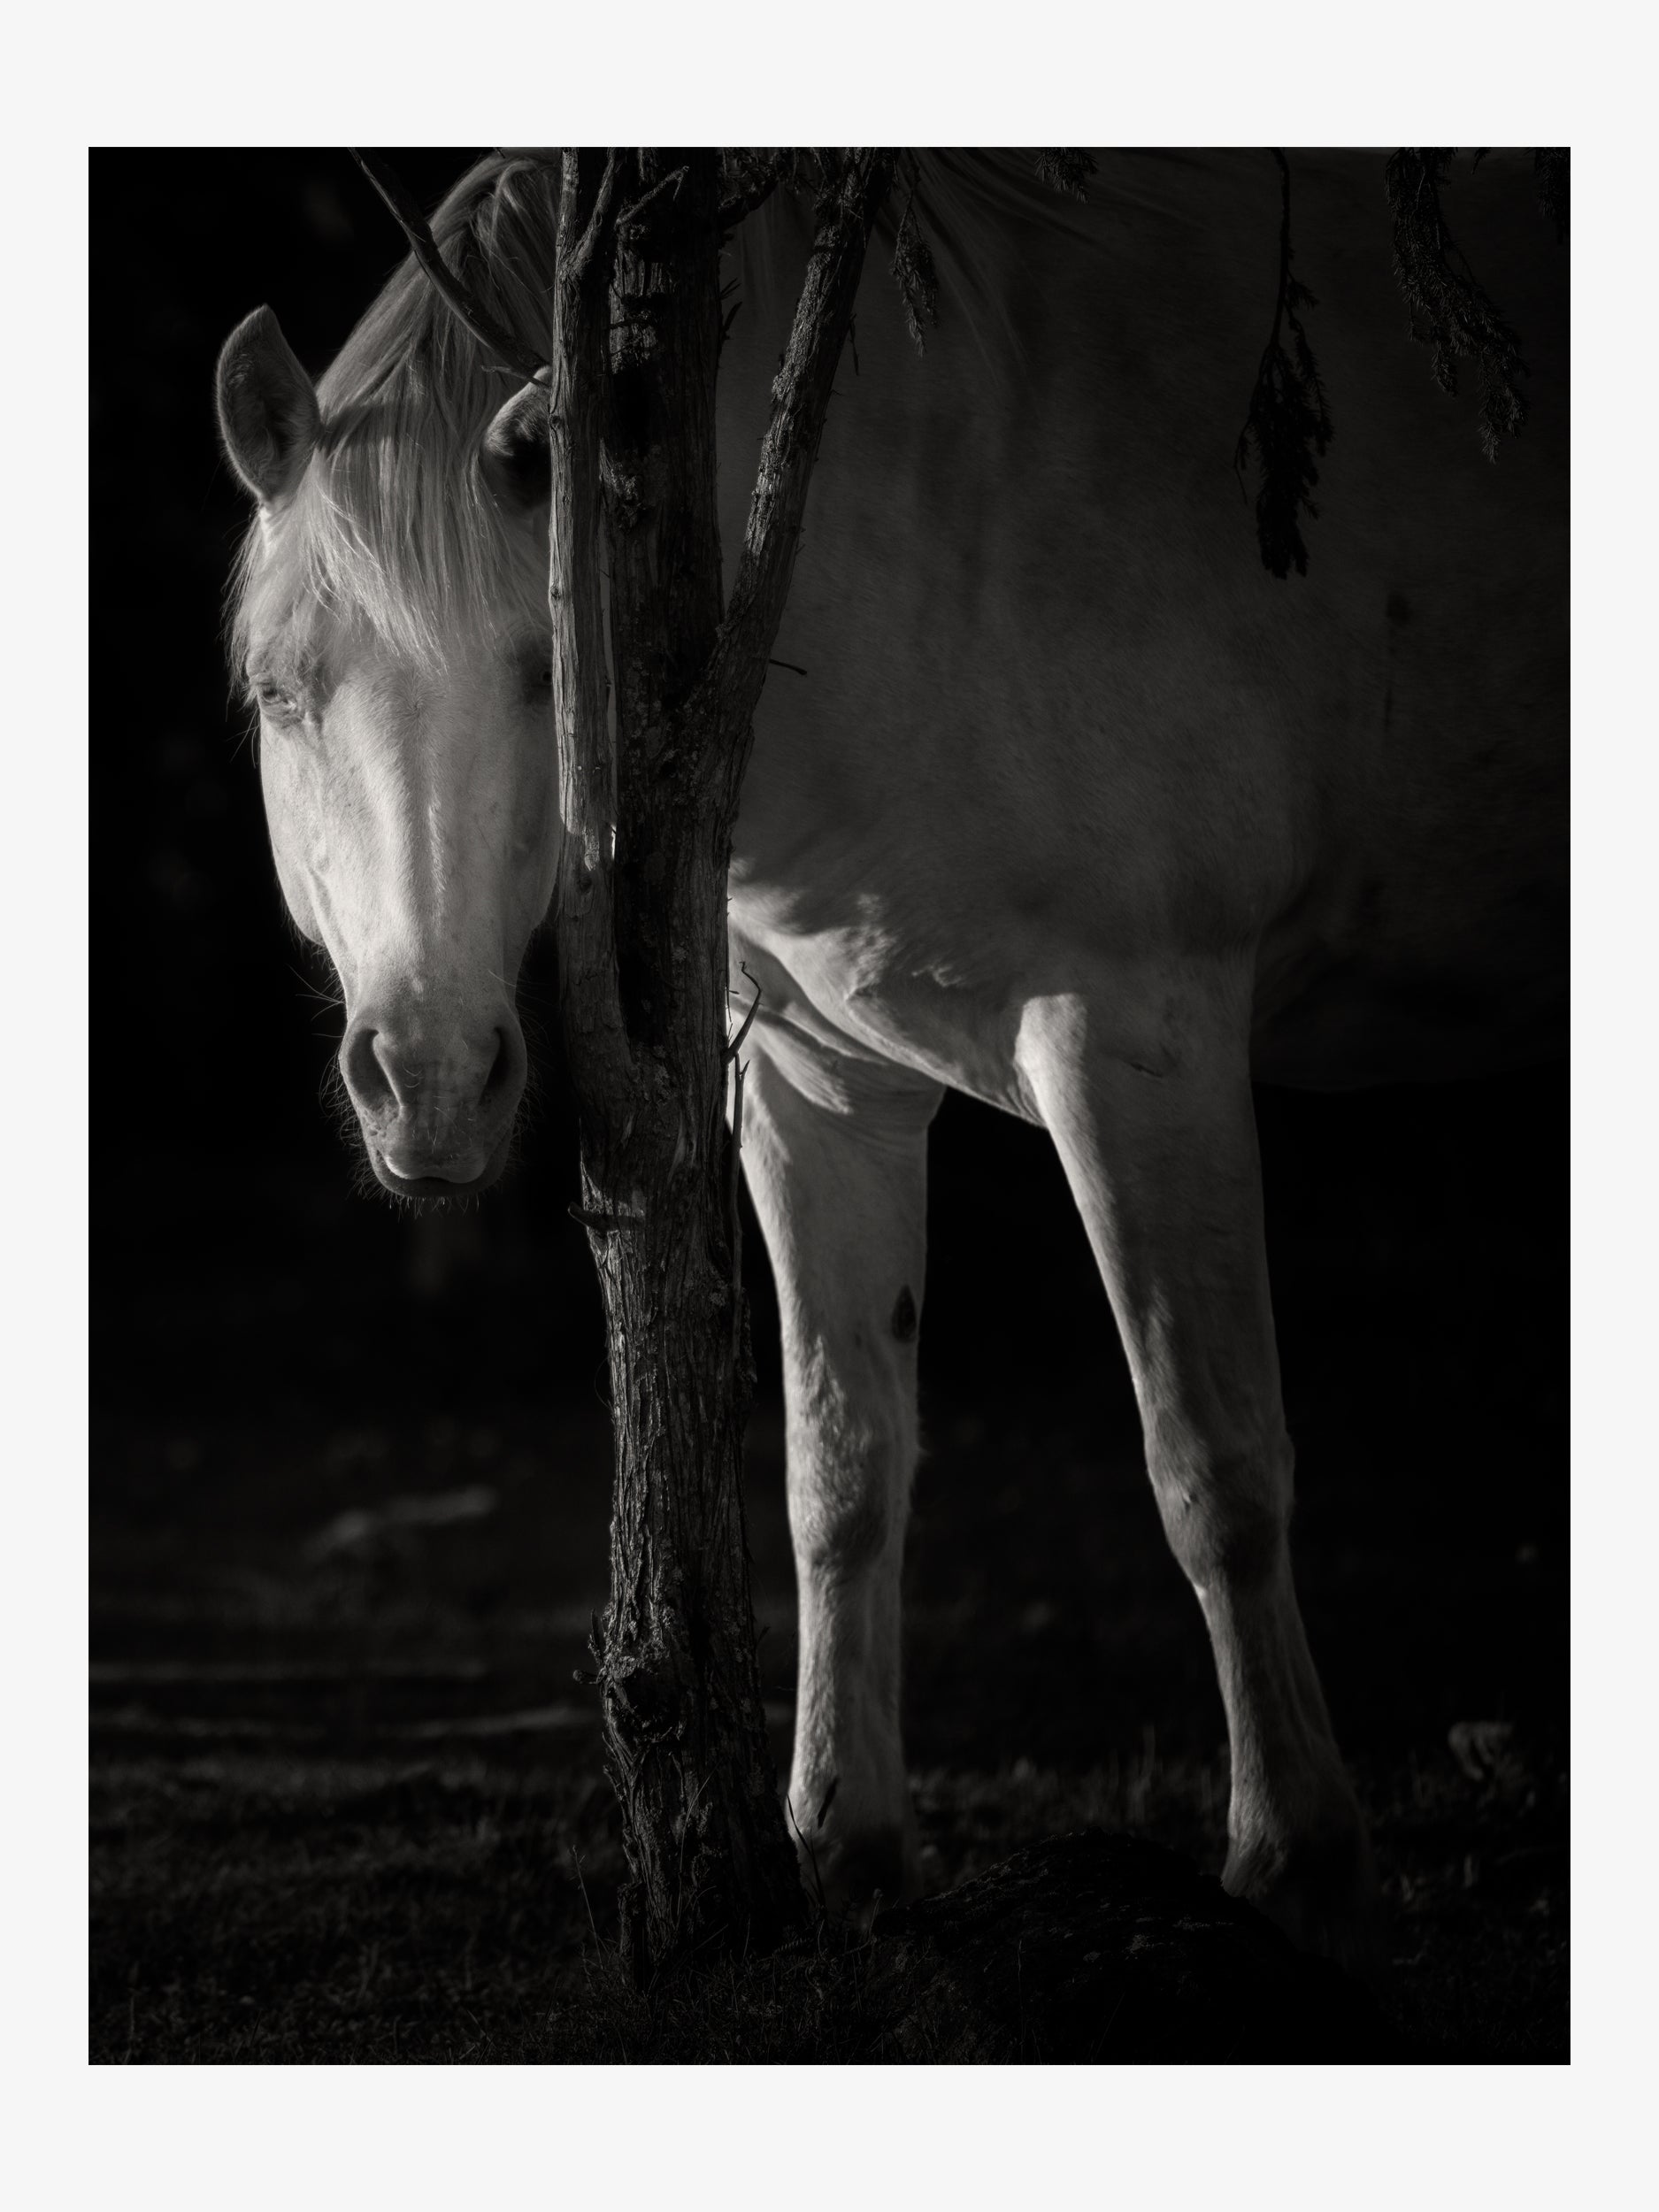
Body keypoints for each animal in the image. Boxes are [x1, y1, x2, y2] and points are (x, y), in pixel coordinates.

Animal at [215, 150, 1567, 1974]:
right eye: (279, 691)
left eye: (544, 670)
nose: (429, 1080)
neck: (922, 539)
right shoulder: (816, 1087)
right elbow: (838, 1471)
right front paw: (835, 1845)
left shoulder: (1138, 1041)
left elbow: (1214, 1463)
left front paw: (1294, 1862)